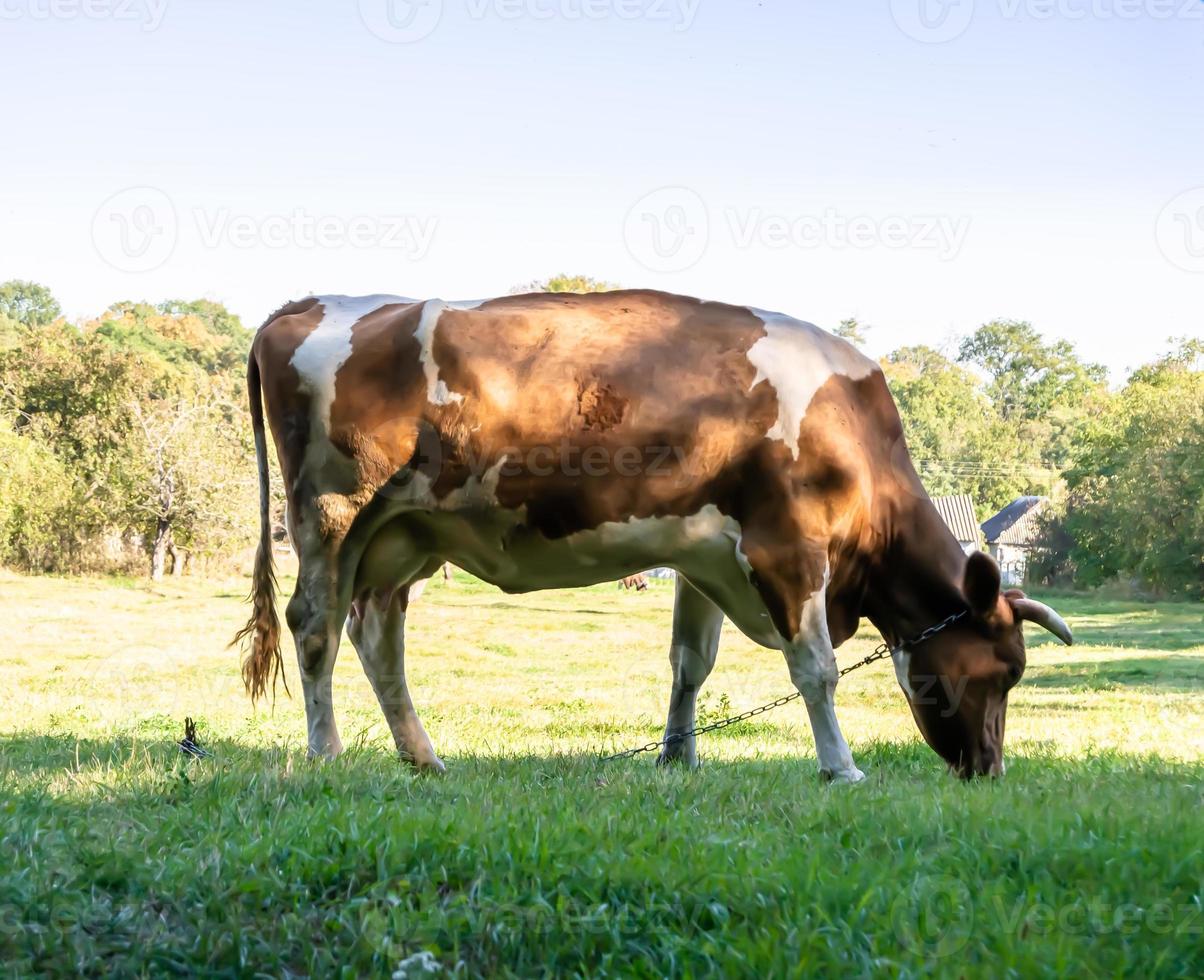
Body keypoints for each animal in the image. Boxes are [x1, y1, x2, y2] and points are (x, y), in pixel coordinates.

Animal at [237, 290, 1073, 784]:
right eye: (1005, 670)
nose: (990, 767)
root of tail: (309, 303)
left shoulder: (702, 553)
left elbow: (689, 665)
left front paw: (678, 755)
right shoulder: (787, 547)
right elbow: (817, 670)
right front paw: (841, 767)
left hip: (404, 536)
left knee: (376, 634)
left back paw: (424, 757)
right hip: (331, 515)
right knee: (315, 626)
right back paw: (325, 752)